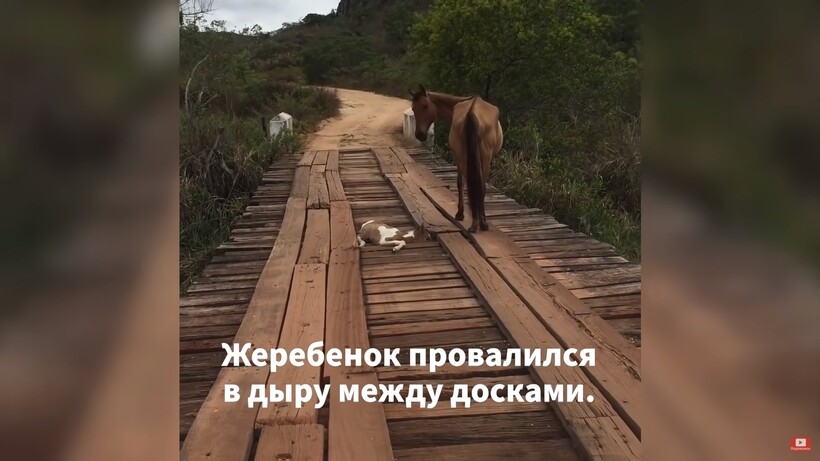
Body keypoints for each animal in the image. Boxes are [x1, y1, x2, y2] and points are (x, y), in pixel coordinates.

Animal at [408, 84, 503, 232]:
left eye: (425, 106)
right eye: (413, 109)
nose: (419, 135)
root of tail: (472, 111)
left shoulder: (458, 156)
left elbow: (460, 183)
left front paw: (460, 213)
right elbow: (462, 183)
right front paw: (460, 214)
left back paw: (478, 222)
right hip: (480, 157)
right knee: (477, 184)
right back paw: (479, 222)